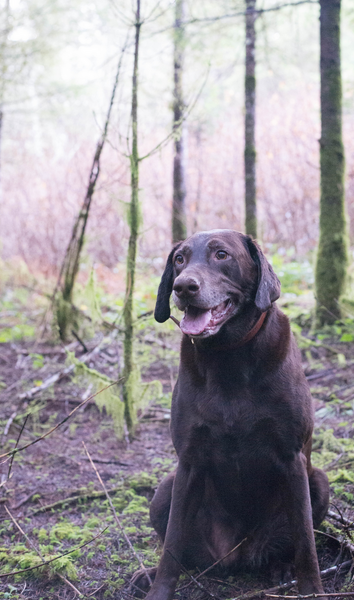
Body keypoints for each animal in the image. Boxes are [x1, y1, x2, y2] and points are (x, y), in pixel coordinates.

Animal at [133, 230, 330, 600]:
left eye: (221, 255)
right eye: (179, 259)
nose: (183, 286)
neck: (228, 356)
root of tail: (236, 556)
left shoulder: (292, 457)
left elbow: (305, 542)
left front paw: (312, 589)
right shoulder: (189, 461)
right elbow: (172, 545)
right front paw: (160, 589)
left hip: (319, 483)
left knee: (291, 542)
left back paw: (281, 569)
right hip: (165, 490)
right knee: (181, 550)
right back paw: (150, 575)